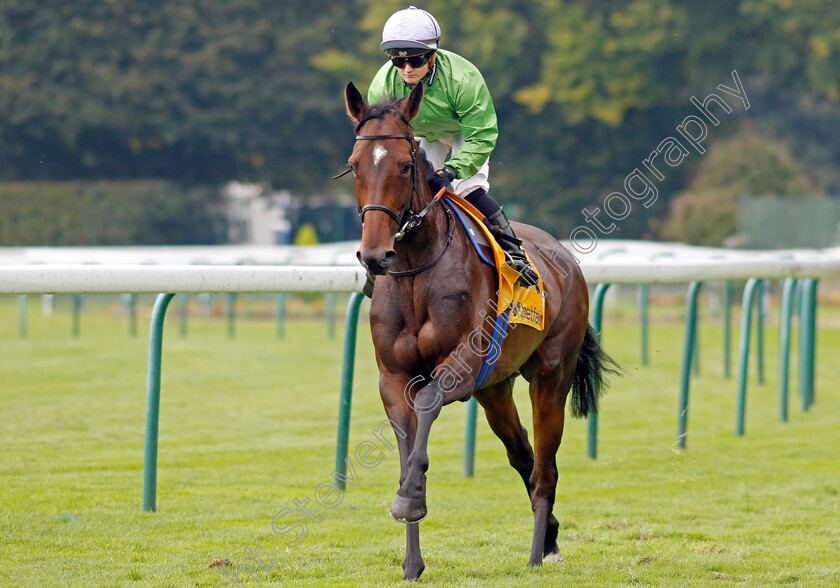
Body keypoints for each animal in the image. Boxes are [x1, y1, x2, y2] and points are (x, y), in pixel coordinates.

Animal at [344, 80, 612, 580]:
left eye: (405, 164)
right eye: (354, 165)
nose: (375, 256)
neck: (415, 273)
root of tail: (565, 258)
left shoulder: (463, 366)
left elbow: (428, 404)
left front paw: (410, 499)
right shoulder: (393, 377)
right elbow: (407, 446)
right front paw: (411, 559)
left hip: (550, 376)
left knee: (545, 467)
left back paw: (538, 554)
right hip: (496, 388)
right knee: (523, 455)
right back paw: (549, 538)